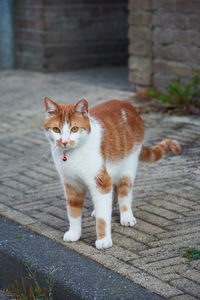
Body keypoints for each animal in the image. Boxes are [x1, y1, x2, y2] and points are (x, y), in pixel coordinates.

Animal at [43, 97, 181, 250]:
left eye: (74, 129)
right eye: (56, 129)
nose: (64, 142)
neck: (73, 155)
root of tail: (128, 105)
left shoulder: (100, 181)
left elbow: (103, 218)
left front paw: (103, 240)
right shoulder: (71, 184)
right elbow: (73, 212)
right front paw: (74, 233)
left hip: (127, 168)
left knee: (124, 193)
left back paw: (126, 216)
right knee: (113, 193)